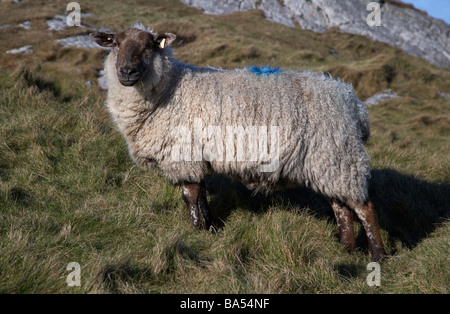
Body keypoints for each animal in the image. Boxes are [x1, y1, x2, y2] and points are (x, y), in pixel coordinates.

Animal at [90, 23, 386, 262]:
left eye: (149, 45)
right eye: (116, 43)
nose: (127, 72)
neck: (170, 89)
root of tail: (354, 103)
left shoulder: (184, 155)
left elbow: (190, 197)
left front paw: (197, 231)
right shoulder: (198, 157)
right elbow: (201, 195)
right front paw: (210, 227)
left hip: (342, 156)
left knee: (364, 208)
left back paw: (378, 255)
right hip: (329, 163)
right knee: (341, 207)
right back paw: (347, 249)